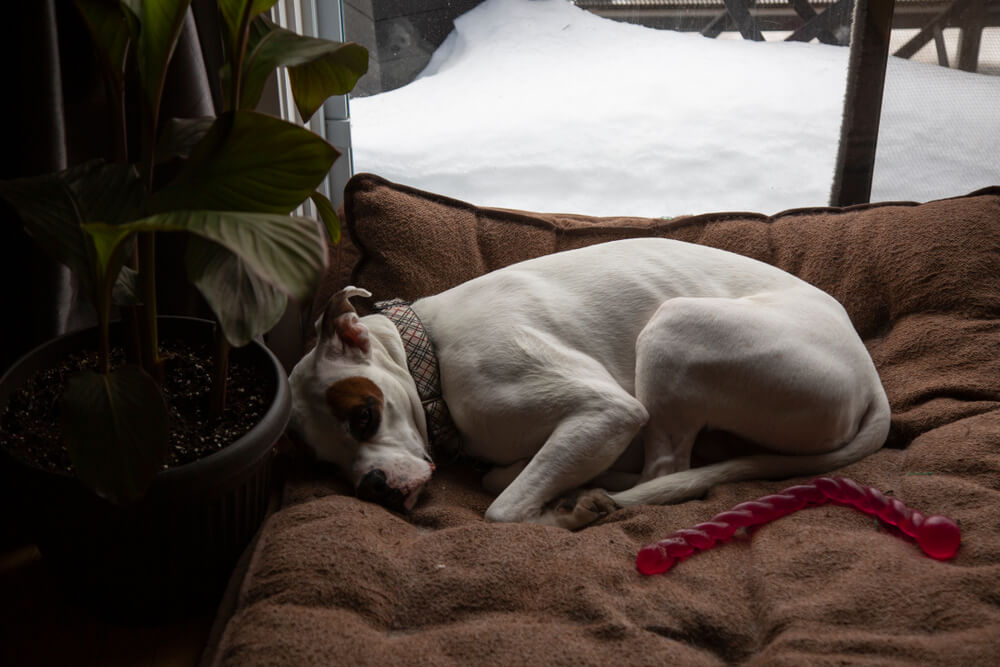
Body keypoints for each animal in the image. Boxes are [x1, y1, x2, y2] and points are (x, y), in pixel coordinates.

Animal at [290, 237, 892, 528]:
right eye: (324, 461)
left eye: (363, 416)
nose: (372, 488)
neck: (428, 357)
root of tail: (870, 380)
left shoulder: (607, 410)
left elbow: (503, 510)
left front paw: (561, 513)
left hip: (676, 327)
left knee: (665, 472)